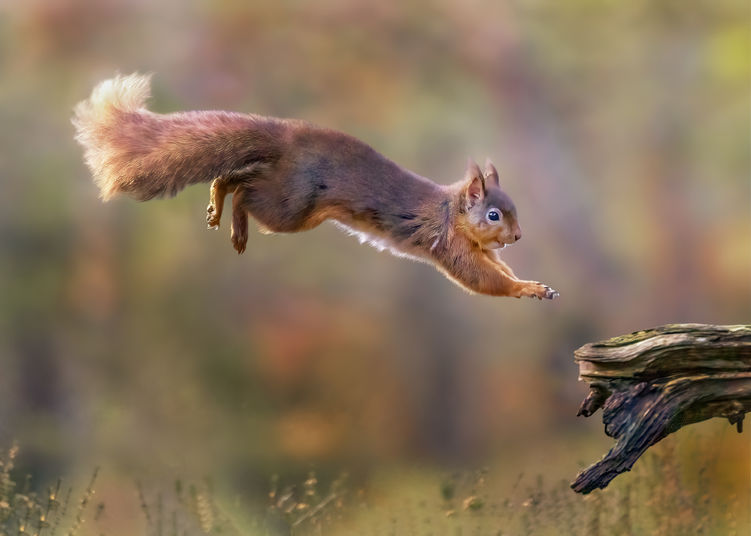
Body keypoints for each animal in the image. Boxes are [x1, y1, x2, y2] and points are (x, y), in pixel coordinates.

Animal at [73, 73, 558, 300]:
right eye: (493, 214)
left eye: (513, 209)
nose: (518, 236)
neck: (452, 212)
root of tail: (287, 136)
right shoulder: (451, 245)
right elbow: (483, 280)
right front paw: (527, 291)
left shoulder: (481, 249)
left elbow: (498, 269)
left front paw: (535, 284)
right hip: (291, 207)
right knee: (243, 189)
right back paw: (234, 223)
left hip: (286, 194)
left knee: (234, 176)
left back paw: (219, 206)